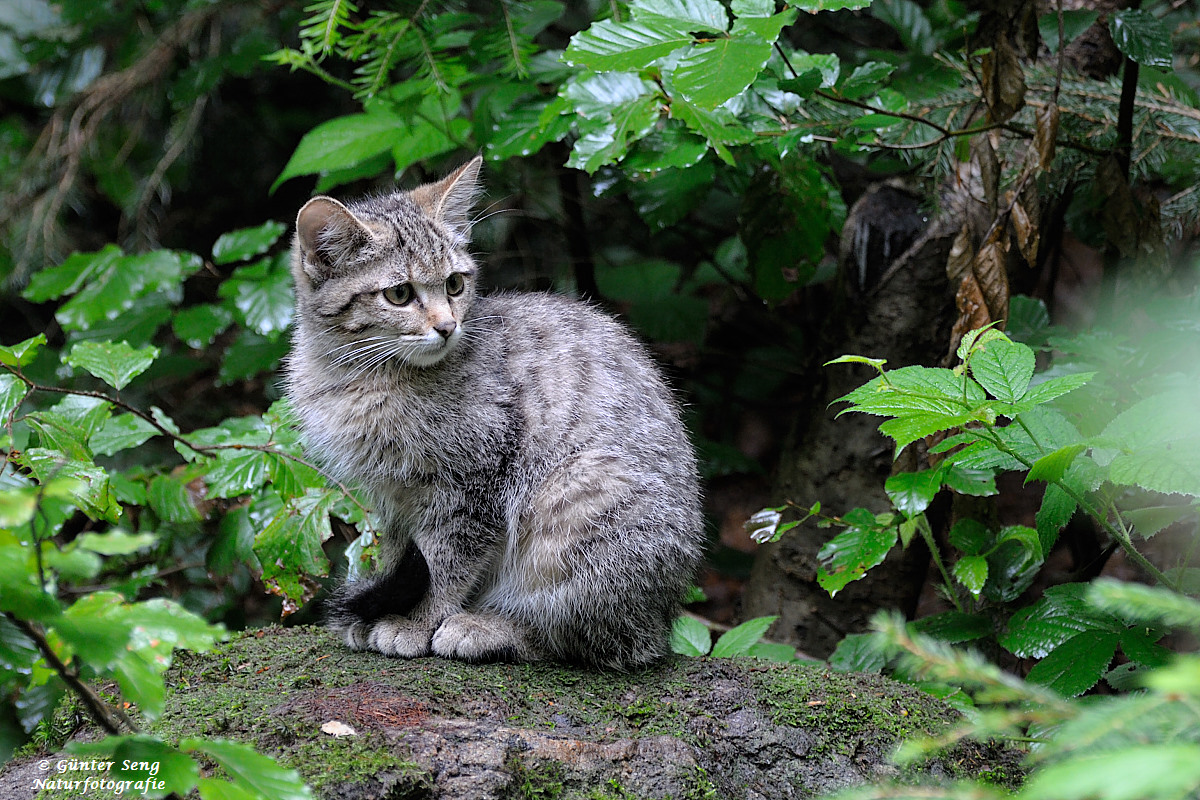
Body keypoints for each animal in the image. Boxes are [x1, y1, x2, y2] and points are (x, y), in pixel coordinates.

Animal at [283, 155, 700, 671]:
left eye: (455, 284)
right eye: (399, 294)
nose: (447, 326)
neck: (360, 378)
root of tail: (666, 614)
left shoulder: (475, 480)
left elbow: (446, 565)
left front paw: (417, 622)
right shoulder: (393, 499)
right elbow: (399, 558)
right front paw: (383, 612)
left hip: (578, 498)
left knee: (593, 636)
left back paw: (490, 627)